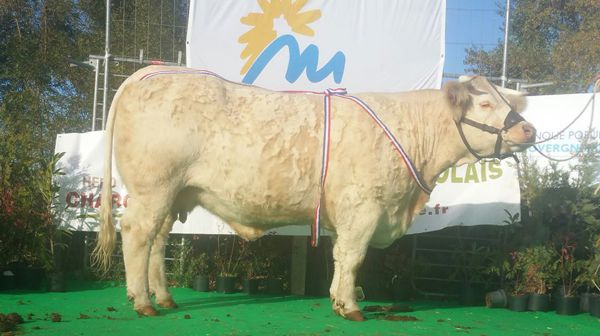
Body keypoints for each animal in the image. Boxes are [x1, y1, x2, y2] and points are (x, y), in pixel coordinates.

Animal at [94, 65, 536, 320]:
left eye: (505, 101)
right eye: (484, 103)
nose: (528, 129)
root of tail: (147, 73)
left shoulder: (350, 212)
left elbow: (340, 257)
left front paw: (338, 298)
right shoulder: (365, 206)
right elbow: (354, 257)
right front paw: (351, 307)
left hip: (173, 194)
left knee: (157, 242)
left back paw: (164, 298)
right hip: (154, 187)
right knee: (137, 235)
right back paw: (143, 302)